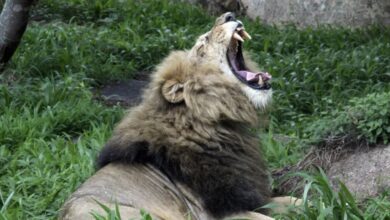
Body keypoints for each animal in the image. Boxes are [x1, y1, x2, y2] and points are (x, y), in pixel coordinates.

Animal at [59, 12, 300, 220]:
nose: (229, 15)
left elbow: (295, 200)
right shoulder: (219, 212)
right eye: (202, 45)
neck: (221, 124)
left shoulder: (252, 198)